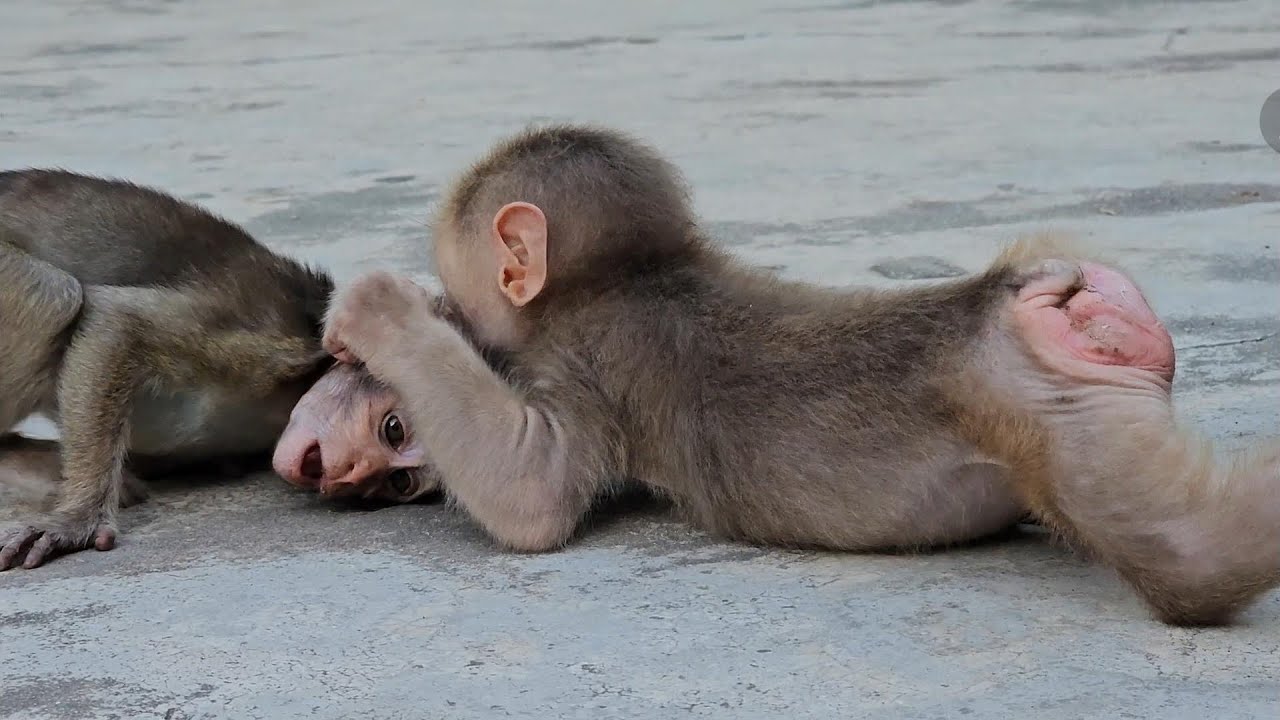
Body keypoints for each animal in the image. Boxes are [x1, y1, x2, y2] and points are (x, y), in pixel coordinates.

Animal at [0, 169, 437, 571]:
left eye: (399, 481)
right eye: (394, 429)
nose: (354, 472)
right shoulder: (272, 339)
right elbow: (120, 322)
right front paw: (79, 518)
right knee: (55, 297)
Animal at [320, 124, 1279, 626]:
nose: (443, 297)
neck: (636, 276)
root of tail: (1000, 304)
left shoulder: (586, 365)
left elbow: (531, 490)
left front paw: (379, 310)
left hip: (1057, 418)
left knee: (1185, 554)